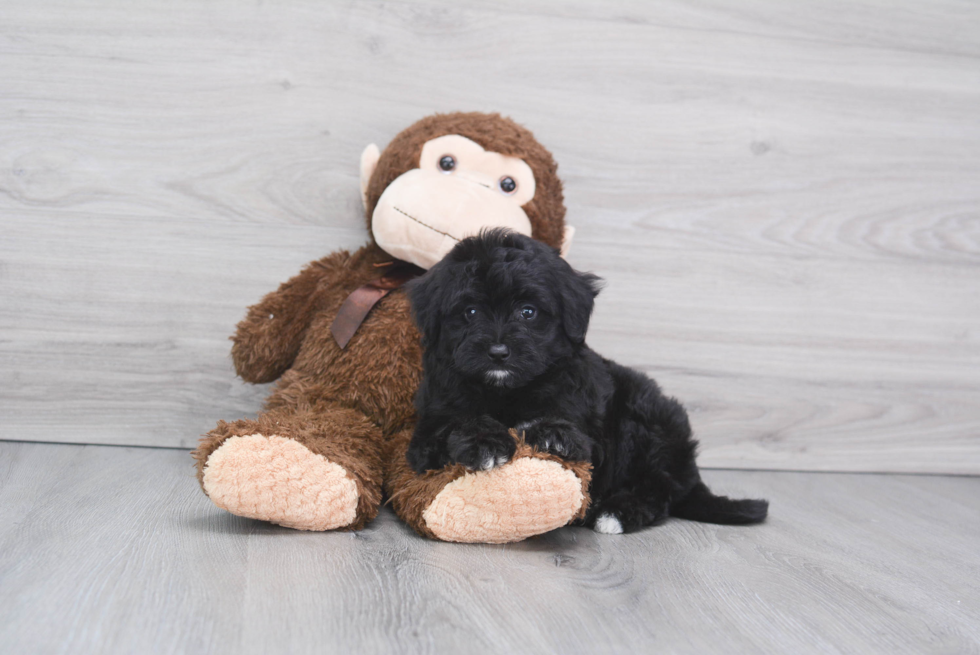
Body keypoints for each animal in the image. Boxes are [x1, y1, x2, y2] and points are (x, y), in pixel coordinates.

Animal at [404, 229, 764, 532]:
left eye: (528, 312)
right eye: (471, 312)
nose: (498, 352)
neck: (507, 390)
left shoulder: (592, 433)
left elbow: (573, 434)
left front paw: (554, 434)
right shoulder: (427, 430)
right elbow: (453, 425)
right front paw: (485, 441)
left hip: (646, 417)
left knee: (659, 487)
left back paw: (616, 512)